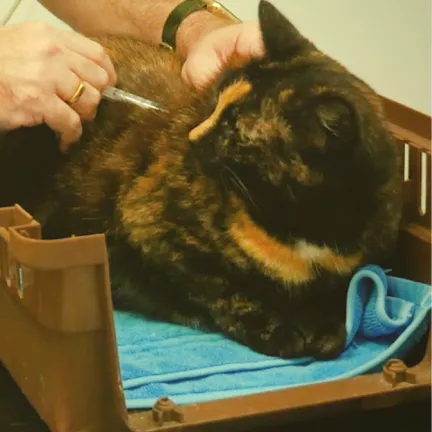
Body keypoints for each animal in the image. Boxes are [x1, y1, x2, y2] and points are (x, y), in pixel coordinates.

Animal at [0, 0, 402, 358]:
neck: (296, 224)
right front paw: (281, 328)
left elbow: (341, 291)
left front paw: (326, 324)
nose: (193, 136)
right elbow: (221, 287)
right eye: (215, 103)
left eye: (235, 130)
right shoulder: (147, 222)